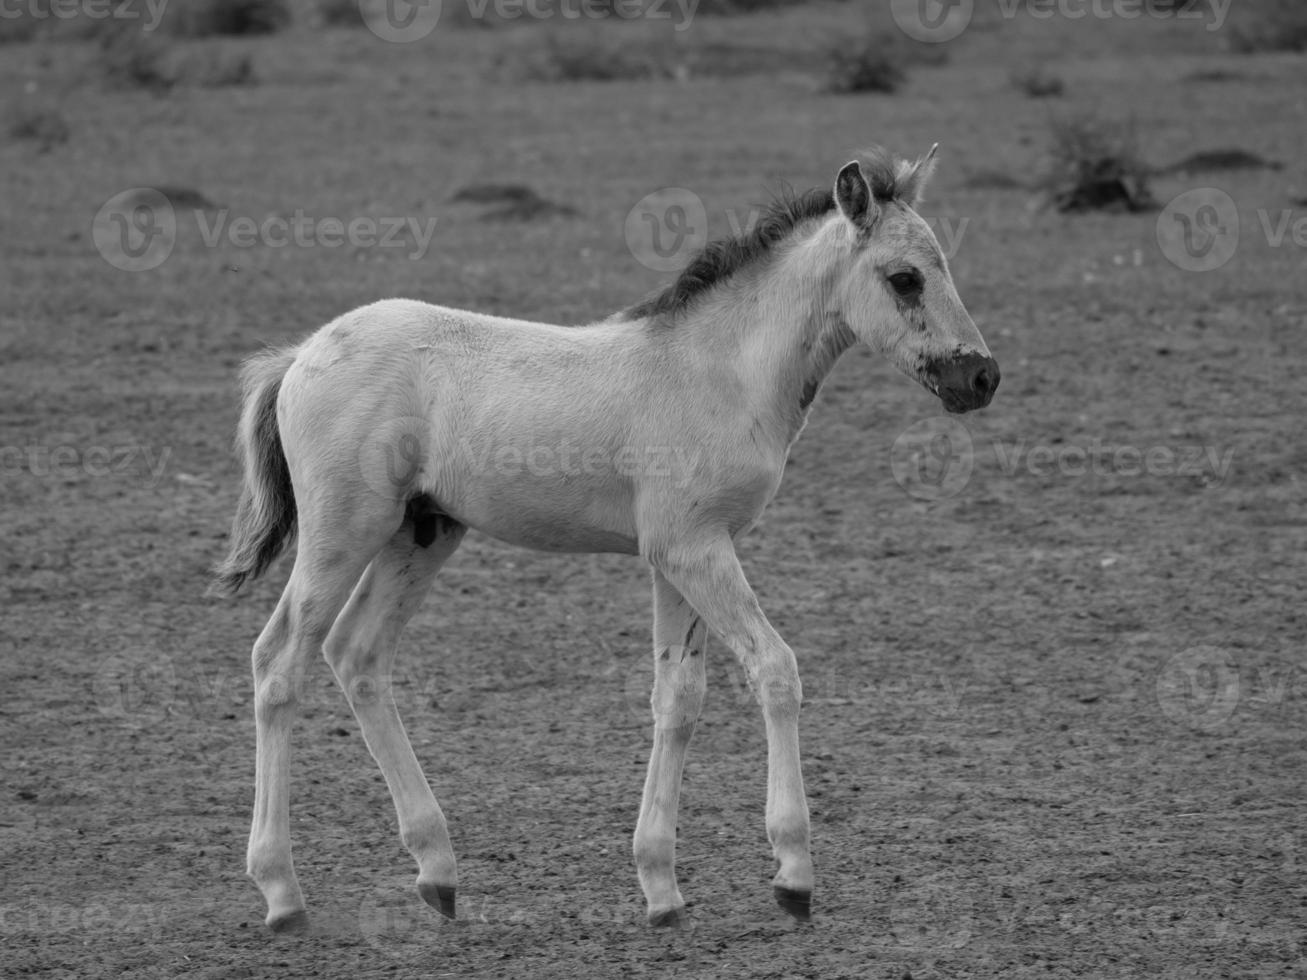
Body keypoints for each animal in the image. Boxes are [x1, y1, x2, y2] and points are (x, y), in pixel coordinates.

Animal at [214, 147, 998, 935]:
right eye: (905, 277)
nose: (982, 376)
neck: (720, 371)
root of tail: (301, 354)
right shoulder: (694, 549)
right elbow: (775, 670)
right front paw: (793, 872)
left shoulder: (677, 558)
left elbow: (678, 697)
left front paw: (661, 887)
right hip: (343, 533)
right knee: (279, 663)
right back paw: (281, 893)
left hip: (421, 534)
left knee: (358, 655)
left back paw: (437, 871)